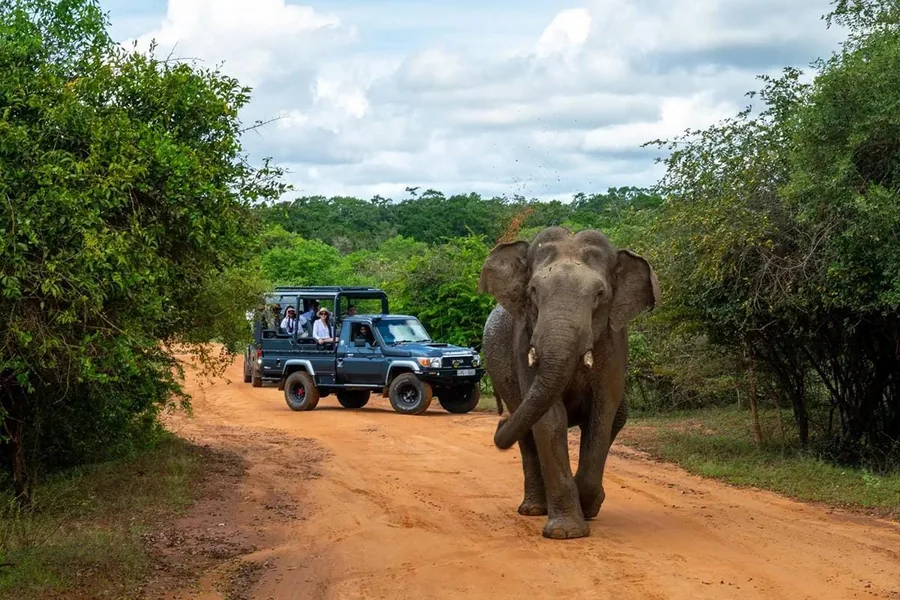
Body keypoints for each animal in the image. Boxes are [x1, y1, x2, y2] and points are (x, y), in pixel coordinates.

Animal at [478, 226, 659, 539]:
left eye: (600, 294)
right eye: (533, 292)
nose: (500, 422)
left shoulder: (615, 341)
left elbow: (603, 413)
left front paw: (586, 509)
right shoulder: (523, 339)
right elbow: (550, 419)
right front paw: (565, 533)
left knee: (617, 417)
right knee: (526, 431)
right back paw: (533, 509)